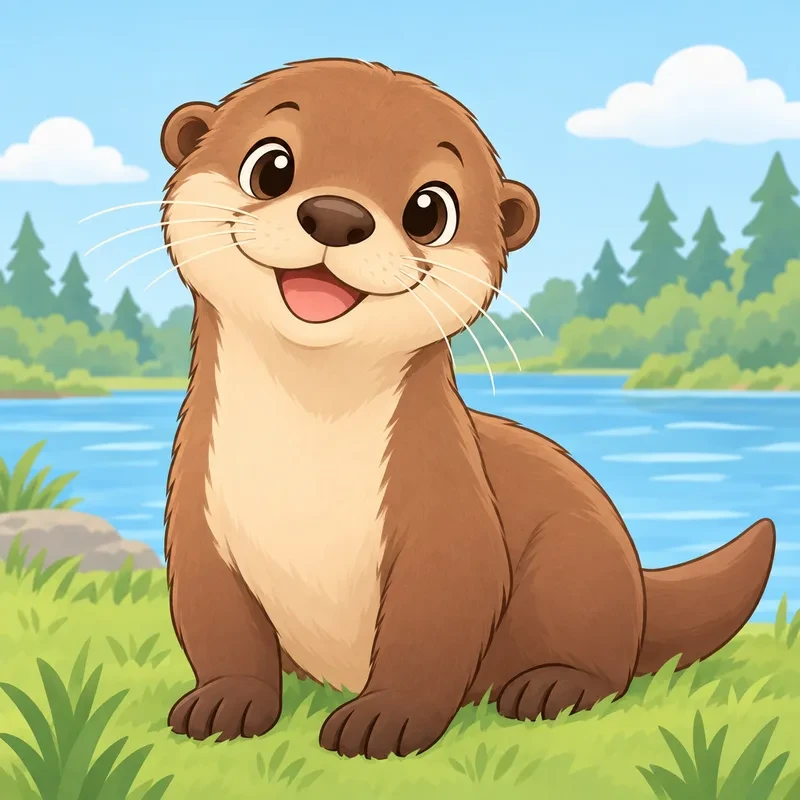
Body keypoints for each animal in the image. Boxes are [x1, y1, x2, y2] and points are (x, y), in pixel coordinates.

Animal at [159, 58, 775, 759]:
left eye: (430, 209)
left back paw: (552, 687)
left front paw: (386, 720)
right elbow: (216, 622)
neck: (307, 447)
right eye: (270, 166)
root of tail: (639, 581)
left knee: (604, 663)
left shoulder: (447, 514)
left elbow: (432, 626)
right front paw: (224, 702)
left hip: (577, 559)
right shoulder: (199, 518)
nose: (337, 215)